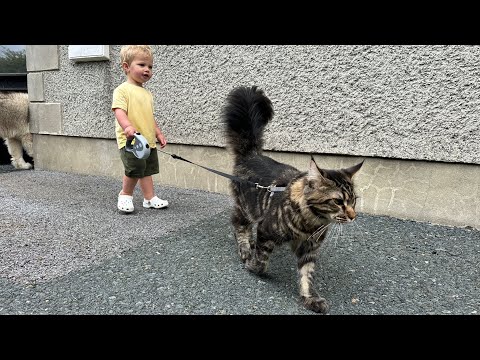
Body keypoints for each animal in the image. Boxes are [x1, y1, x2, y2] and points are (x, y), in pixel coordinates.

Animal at [222, 86, 364, 314]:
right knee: (238, 223)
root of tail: (252, 155)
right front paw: (252, 266)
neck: (311, 223)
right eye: (338, 201)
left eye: (354, 200)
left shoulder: (309, 248)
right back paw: (245, 248)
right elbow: (262, 261)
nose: (353, 216)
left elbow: (307, 275)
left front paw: (310, 298)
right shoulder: (266, 229)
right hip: (247, 208)